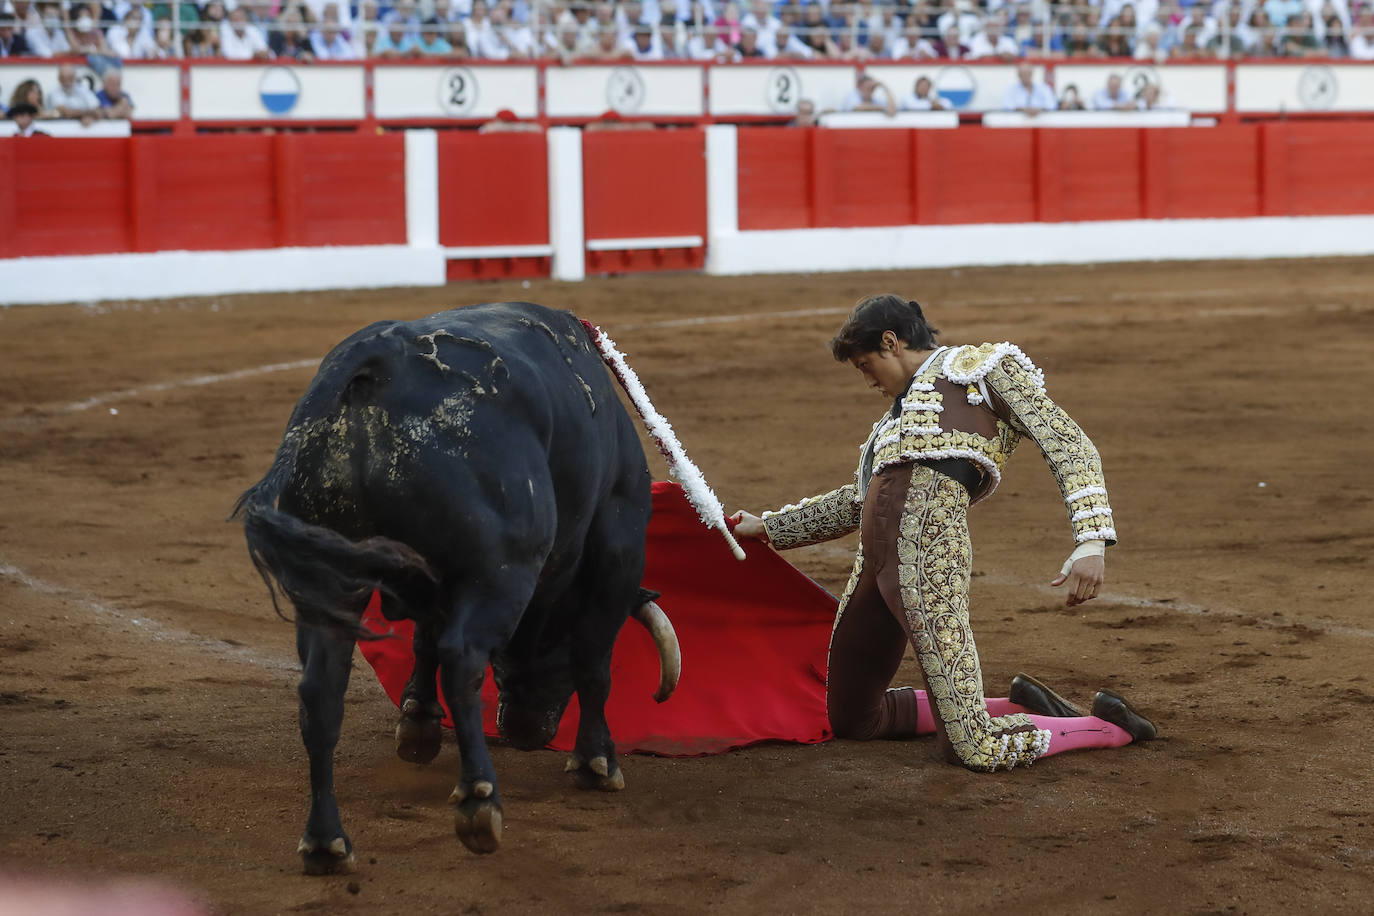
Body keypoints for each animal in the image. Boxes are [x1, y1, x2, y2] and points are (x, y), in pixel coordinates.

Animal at [239, 302, 684, 873]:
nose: (524, 732)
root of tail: (375, 365)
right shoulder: (618, 547)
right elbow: (593, 662)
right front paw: (596, 762)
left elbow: (423, 641)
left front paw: (418, 727)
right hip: (499, 572)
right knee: (463, 661)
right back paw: (479, 802)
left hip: (327, 586)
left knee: (321, 692)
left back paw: (326, 843)